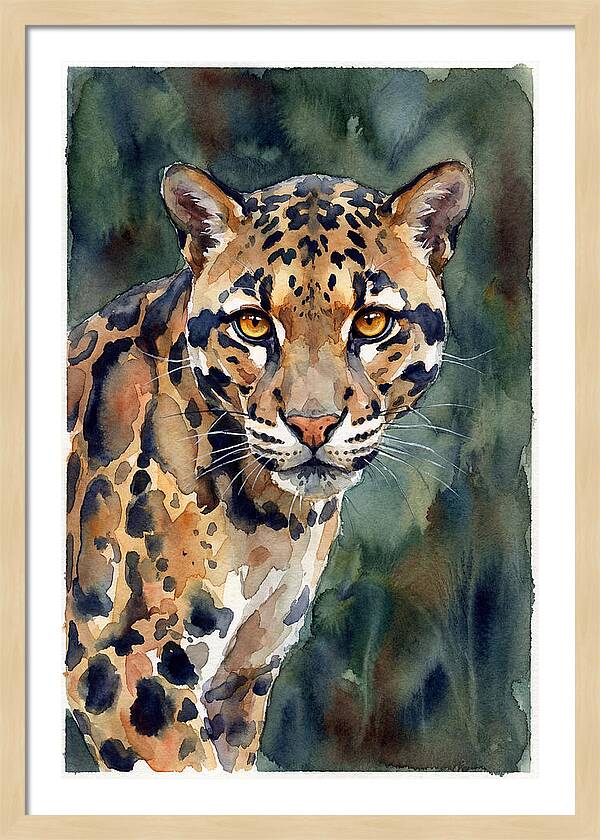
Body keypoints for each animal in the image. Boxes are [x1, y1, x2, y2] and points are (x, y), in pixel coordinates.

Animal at [66, 159, 473, 772]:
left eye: (372, 323)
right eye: (254, 325)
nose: (313, 424)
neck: (271, 521)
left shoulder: (241, 679)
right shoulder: (123, 665)